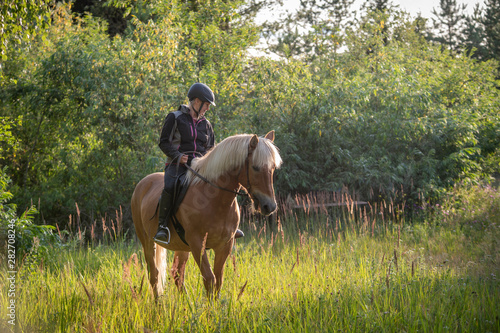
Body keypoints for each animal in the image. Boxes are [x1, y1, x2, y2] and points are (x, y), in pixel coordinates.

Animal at [131, 130, 284, 298]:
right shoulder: (197, 243)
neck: (215, 201)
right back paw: (159, 303)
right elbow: (209, 279)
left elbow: (218, 280)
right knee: (154, 275)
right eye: (255, 167)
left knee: (177, 274)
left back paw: (186, 302)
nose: (269, 206)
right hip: (147, 241)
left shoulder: (225, 245)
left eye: (272, 168)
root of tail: (143, 183)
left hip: (182, 247)